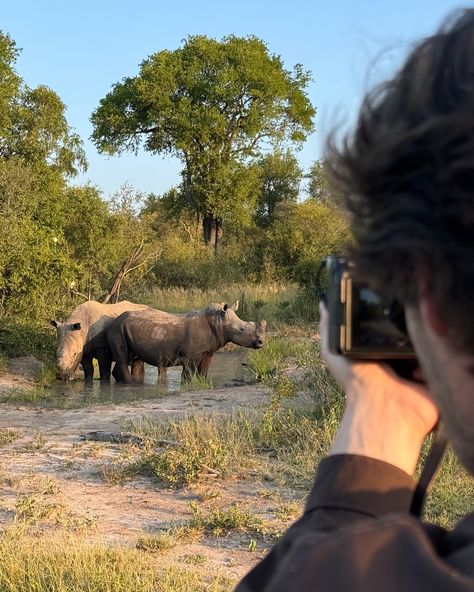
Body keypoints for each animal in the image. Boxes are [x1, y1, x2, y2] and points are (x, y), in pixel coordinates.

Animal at [105, 300, 266, 384]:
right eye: (242, 329)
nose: (261, 342)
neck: (218, 322)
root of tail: (115, 319)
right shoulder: (191, 356)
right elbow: (187, 375)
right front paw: (187, 385)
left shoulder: (208, 352)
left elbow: (203, 372)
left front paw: (201, 384)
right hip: (116, 329)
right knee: (122, 357)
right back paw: (128, 384)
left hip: (124, 329)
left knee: (131, 357)